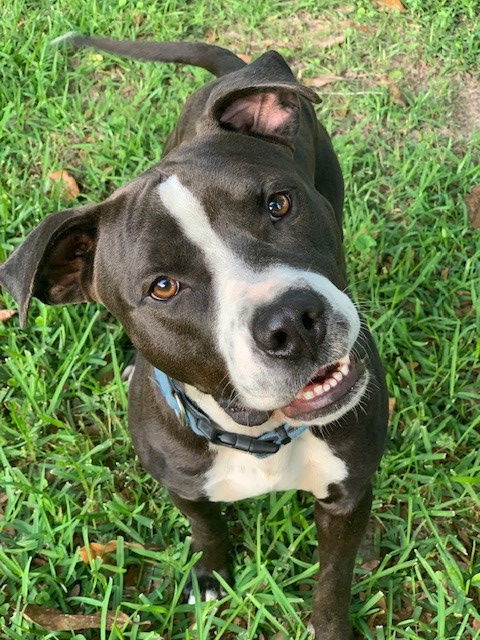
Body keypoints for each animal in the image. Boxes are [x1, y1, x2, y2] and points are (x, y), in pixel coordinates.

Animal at [0, 36, 388, 640]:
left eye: (278, 204)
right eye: (162, 287)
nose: (291, 321)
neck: (259, 435)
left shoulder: (346, 499)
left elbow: (332, 583)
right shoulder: (183, 487)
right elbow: (207, 528)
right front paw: (211, 574)